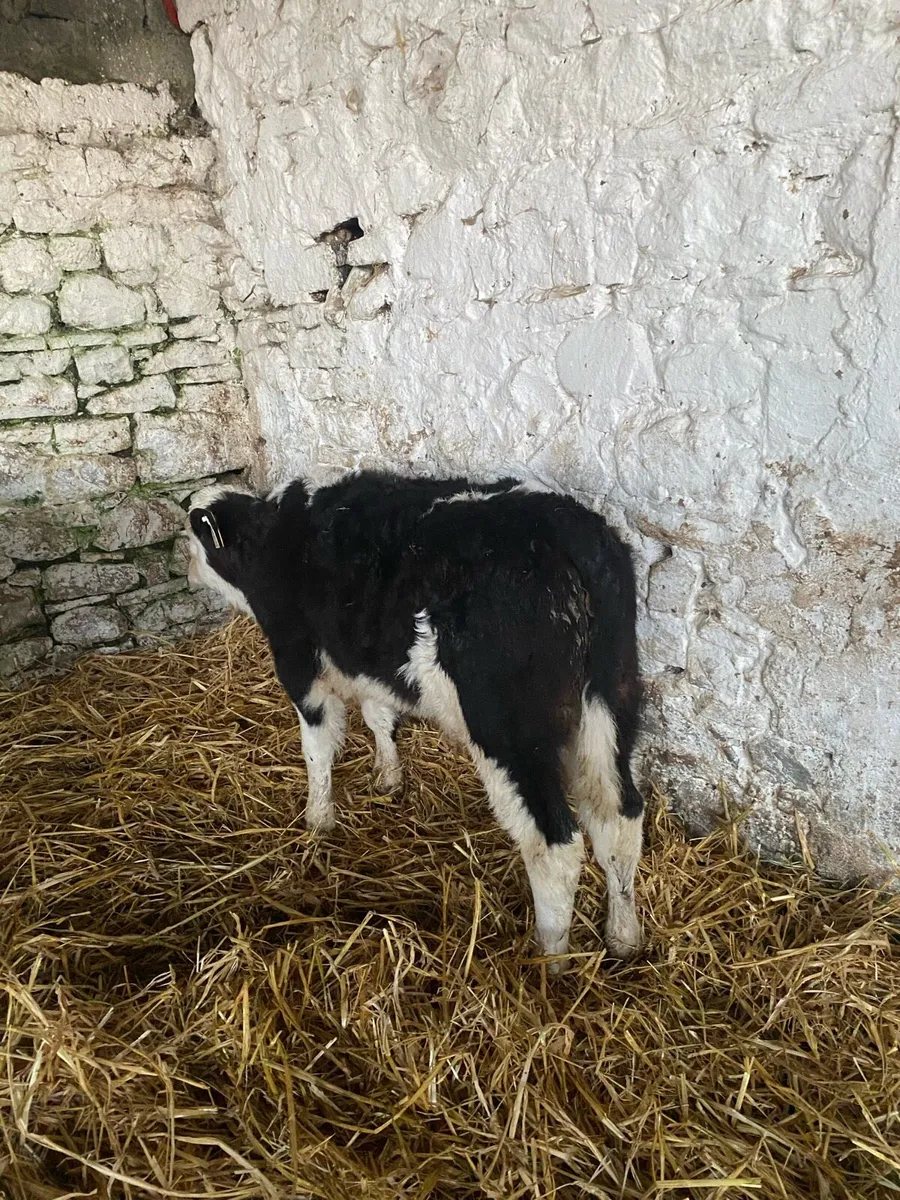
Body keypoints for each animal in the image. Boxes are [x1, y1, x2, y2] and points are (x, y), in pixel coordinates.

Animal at [186, 470, 644, 970]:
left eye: (190, 537)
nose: (185, 569)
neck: (274, 539)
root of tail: (567, 533)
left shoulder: (300, 665)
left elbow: (317, 749)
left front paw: (318, 819)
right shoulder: (369, 664)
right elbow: (379, 715)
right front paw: (388, 776)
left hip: (512, 734)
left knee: (555, 843)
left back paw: (550, 959)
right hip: (610, 705)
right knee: (619, 815)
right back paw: (624, 936)